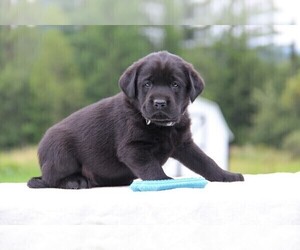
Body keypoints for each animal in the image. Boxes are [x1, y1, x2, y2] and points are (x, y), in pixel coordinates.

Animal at [28, 51, 244, 189]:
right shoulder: (133, 149)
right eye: (147, 84)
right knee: (49, 178)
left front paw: (227, 175)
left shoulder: (184, 144)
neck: (162, 127)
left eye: (175, 84)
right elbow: (152, 169)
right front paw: (165, 181)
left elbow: (206, 162)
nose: (159, 103)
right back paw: (75, 181)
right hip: (60, 150)